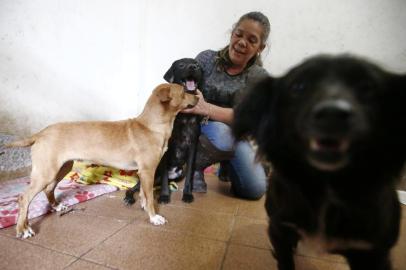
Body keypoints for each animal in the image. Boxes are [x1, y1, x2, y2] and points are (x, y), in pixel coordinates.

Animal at [5, 83, 198, 238]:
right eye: (183, 91)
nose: (198, 95)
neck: (151, 126)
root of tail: (40, 133)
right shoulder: (147, 171)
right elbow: (150, 196)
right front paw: (154, 217)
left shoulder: (146, 172)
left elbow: (144, 194)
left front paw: (144, 207)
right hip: (46, 171)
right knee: (24, 198)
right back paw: (23, 229)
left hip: (62, 168)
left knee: (49, 189)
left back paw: (56, 207)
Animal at [122, 57, 201, 205]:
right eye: (181, 64)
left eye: (197, 64)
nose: (194, 67)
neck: (182, 115)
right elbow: (164, 176)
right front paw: (164, 195)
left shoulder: (193, 145)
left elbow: (189, 175)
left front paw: (187, 194)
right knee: (136, 187)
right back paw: (130, 197)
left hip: (178, 172)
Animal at [232, 53, 406, 268]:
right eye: (299, 86)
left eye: (367, 87)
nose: (333, 114)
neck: (327, 184)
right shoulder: (280, 230)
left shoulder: (372, 251)